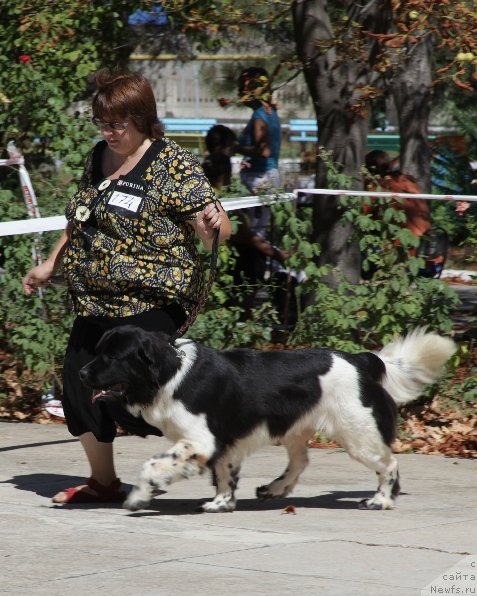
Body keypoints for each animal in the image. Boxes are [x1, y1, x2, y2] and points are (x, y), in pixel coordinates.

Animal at [80, 326, 456, 512]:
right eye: (97, 351)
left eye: (113, 356)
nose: (82, 373)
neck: (170, 371)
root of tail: (363, 360)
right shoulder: (222, 443)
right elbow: (224, 474)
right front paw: (221, 504)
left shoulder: (201, 439)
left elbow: (153, 465)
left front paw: (139, 496)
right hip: (296, 429)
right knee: (301, 460)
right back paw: (274, 488)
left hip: (357, 432)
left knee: (388, 464)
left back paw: (381, 500)